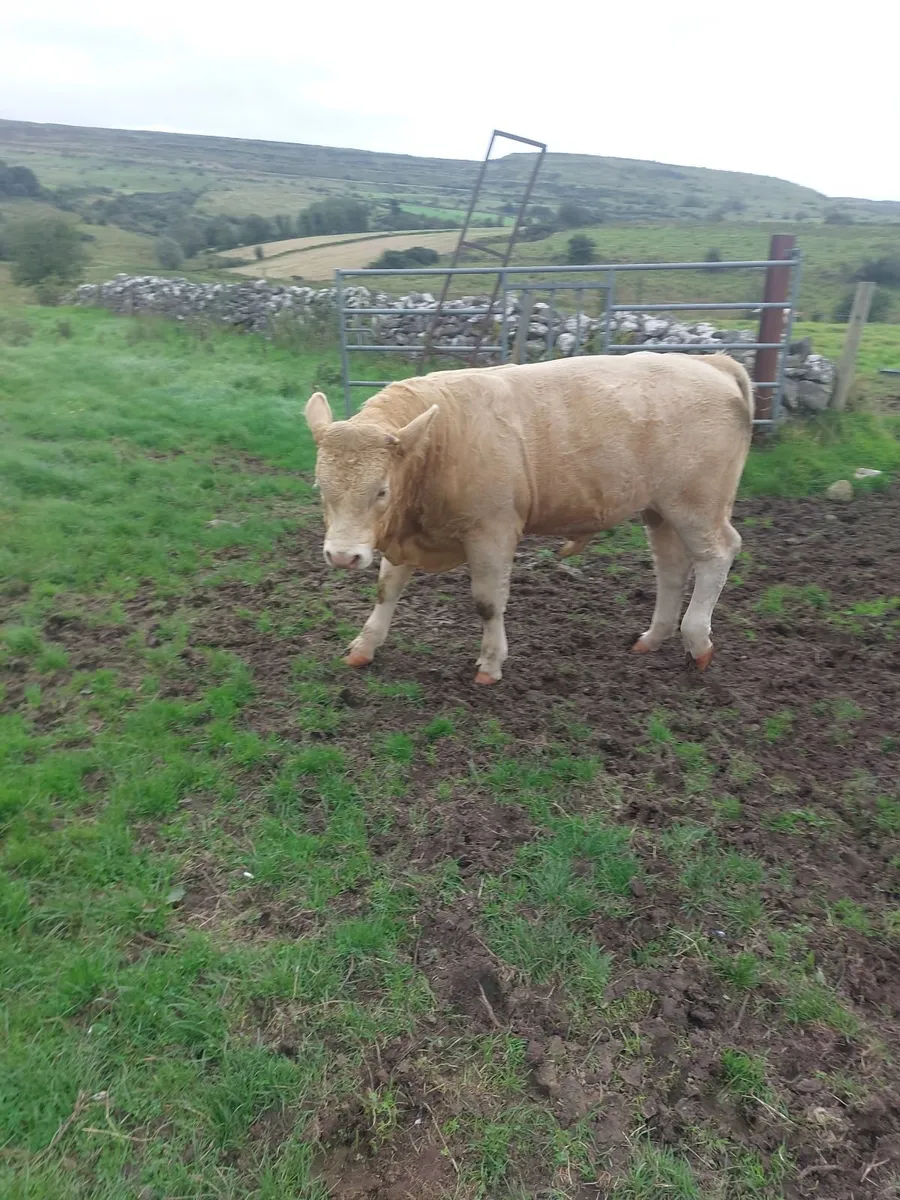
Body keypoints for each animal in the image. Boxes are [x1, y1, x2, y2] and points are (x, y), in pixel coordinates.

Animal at [304, 352, 753, 684]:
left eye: (381, 490)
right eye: (320, 486)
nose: (342, 557)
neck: (444, 438)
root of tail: (710, 362)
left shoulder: (493, 530)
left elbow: (487, 603)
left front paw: (490, 664)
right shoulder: (405, 533)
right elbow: (387, 591)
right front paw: (363, 647)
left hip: (697, 503)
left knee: (717, 555)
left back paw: (697, 640)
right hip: (659, 509)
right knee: (671, 568)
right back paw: (654, 637)